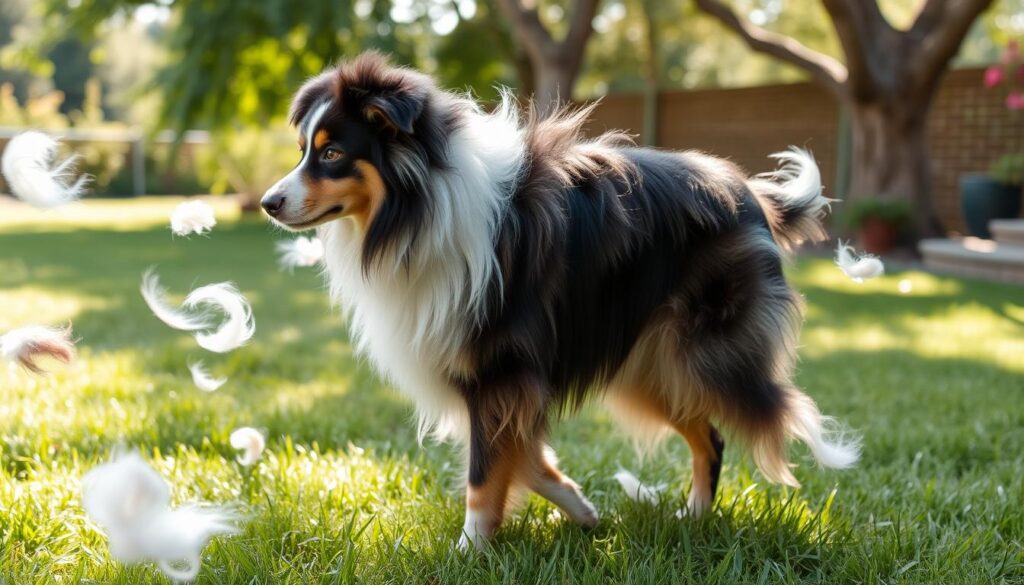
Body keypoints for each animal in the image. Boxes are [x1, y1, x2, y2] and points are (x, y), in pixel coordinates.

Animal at [262, 52, 856, 553]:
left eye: (333, 153)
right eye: (303, 150)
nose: (268, 202)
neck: (420, 205)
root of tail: (749, 193)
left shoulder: (499, 366)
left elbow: (484, 470)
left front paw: (469, 550)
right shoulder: (510, 379)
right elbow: (520, 455)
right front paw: (580, 509)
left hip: (699, 354)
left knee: (776, 409)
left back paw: (818, 456)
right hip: (649, 364)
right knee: (707, 434)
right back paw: (692, 518)